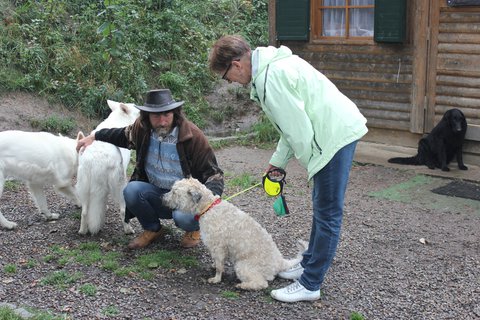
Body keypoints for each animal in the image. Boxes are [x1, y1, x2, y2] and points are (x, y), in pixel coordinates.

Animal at [75, 100, 139, 235]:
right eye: (139, 110)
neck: (120, 118)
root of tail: (97, 161)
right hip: (120, 184)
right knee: (123, 211)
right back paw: (128, 230)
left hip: (83, 186)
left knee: (84, 212)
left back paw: (83, 231)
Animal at [161, 178, 304, 290]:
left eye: (174, 192)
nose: (162, 198)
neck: (208, 208)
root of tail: (280, 262)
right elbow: (217, 261)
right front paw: (214, 266)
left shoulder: (218, 247)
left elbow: (219, 267)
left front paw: (216, 279)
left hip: (242, 266)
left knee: (262, 283)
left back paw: (243, 286)